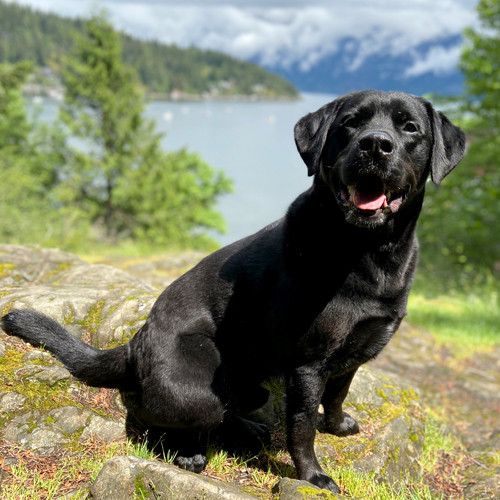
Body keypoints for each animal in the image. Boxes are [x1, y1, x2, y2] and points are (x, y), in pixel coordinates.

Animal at [1, 90, 466, 492]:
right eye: (349, 124)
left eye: (409, 127)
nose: (375, 145)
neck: (367, 254)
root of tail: (134, 346)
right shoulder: (308, 364)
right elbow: (302, 427)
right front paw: (312, 476)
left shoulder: (354, 352)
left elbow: (337, 396)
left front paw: (338, 425)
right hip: (199, 383)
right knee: (163, 418)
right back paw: (189, 453)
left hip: (251, 381)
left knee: (233, 408)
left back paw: (250, 426)